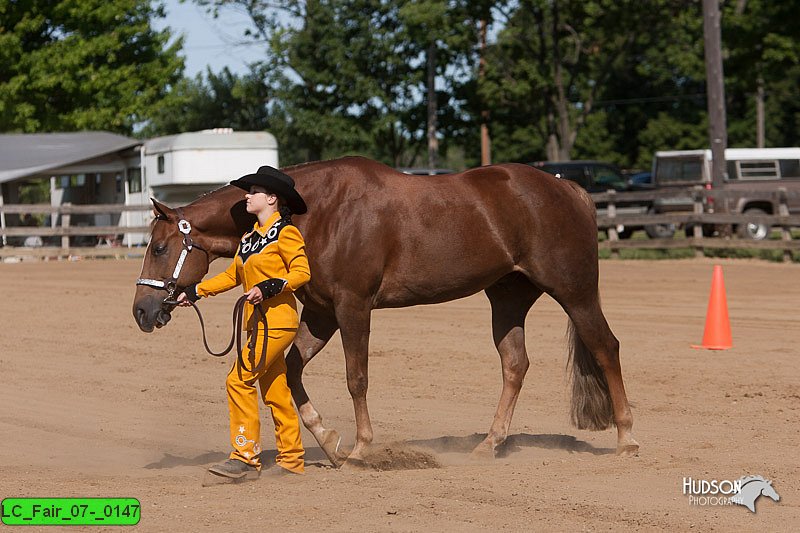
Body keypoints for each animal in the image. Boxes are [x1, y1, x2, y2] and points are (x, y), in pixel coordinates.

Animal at [134, 156, 640, 464]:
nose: (141, 311)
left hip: (574, 291)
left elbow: (356, 377)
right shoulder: (321, 313)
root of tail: (569, 189)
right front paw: (329, 440)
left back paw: (627, 439)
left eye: (159, 248)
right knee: (515, 364)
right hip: (508, 296)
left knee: (606, 347)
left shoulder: (354, 307)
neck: (318, 212)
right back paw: (489, 444)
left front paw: (360, 448)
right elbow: (292, 369)